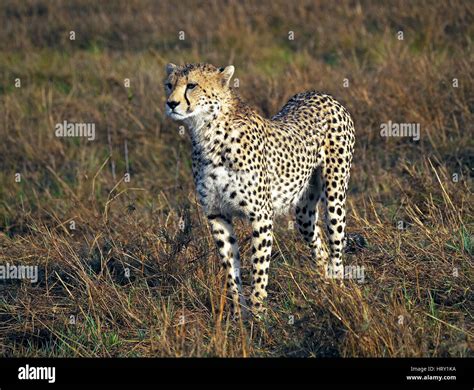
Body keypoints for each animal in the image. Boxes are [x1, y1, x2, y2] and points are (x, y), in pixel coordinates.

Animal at [165, 64, 354, 318]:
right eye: (169, 85)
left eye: (192, 85)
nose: (171, 103)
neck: (207, 134)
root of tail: (318, 93)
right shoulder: (217, 214)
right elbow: (231, 268)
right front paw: (238, 315)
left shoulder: (261, 215)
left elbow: (259, 267)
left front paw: (257, 314)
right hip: (303, 213)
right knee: (320, 247)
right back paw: (324, 287)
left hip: (334, 197)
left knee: (336, 247)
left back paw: (338, 291)